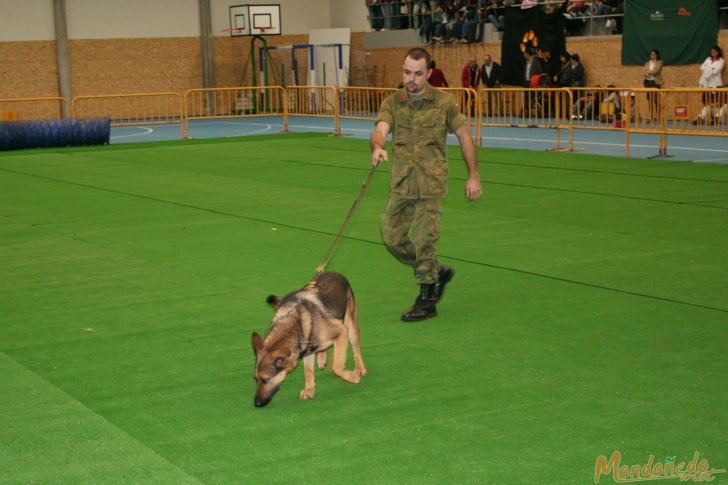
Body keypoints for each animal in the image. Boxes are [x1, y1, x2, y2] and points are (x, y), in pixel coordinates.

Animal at [252, 272, 366, 404]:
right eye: (256, 379)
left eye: (265, 380)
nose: (257, 403)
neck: (297, 326)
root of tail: (334, 273)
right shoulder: (308, 352)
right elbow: (308, 372)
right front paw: (309, 389)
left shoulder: (342, 332)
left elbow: (337, 367)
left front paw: (353, 377)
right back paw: (321, 357)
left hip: (351, 327)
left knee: (356, 348)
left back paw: (360, 367)